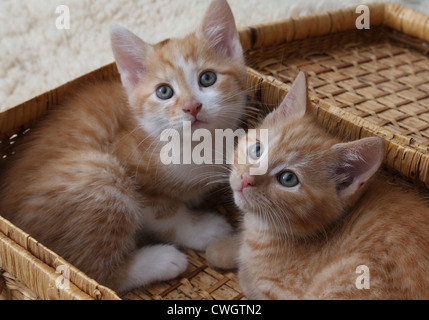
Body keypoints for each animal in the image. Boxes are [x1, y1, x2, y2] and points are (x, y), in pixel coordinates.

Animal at [0, 0, 246, 292]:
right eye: (164, 92)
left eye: (207, 78)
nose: (192, 107)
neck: (195, 147)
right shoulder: (131, 167)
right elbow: (165, 215)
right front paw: (201, 229)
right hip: (100, 173)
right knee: (93, 273)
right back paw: (160, 260)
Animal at [206, 71, 428, 298]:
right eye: (257, 149)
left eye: (288, 179)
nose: (246, 179)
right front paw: (225, 247)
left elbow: (248, 278)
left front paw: (235, 258)